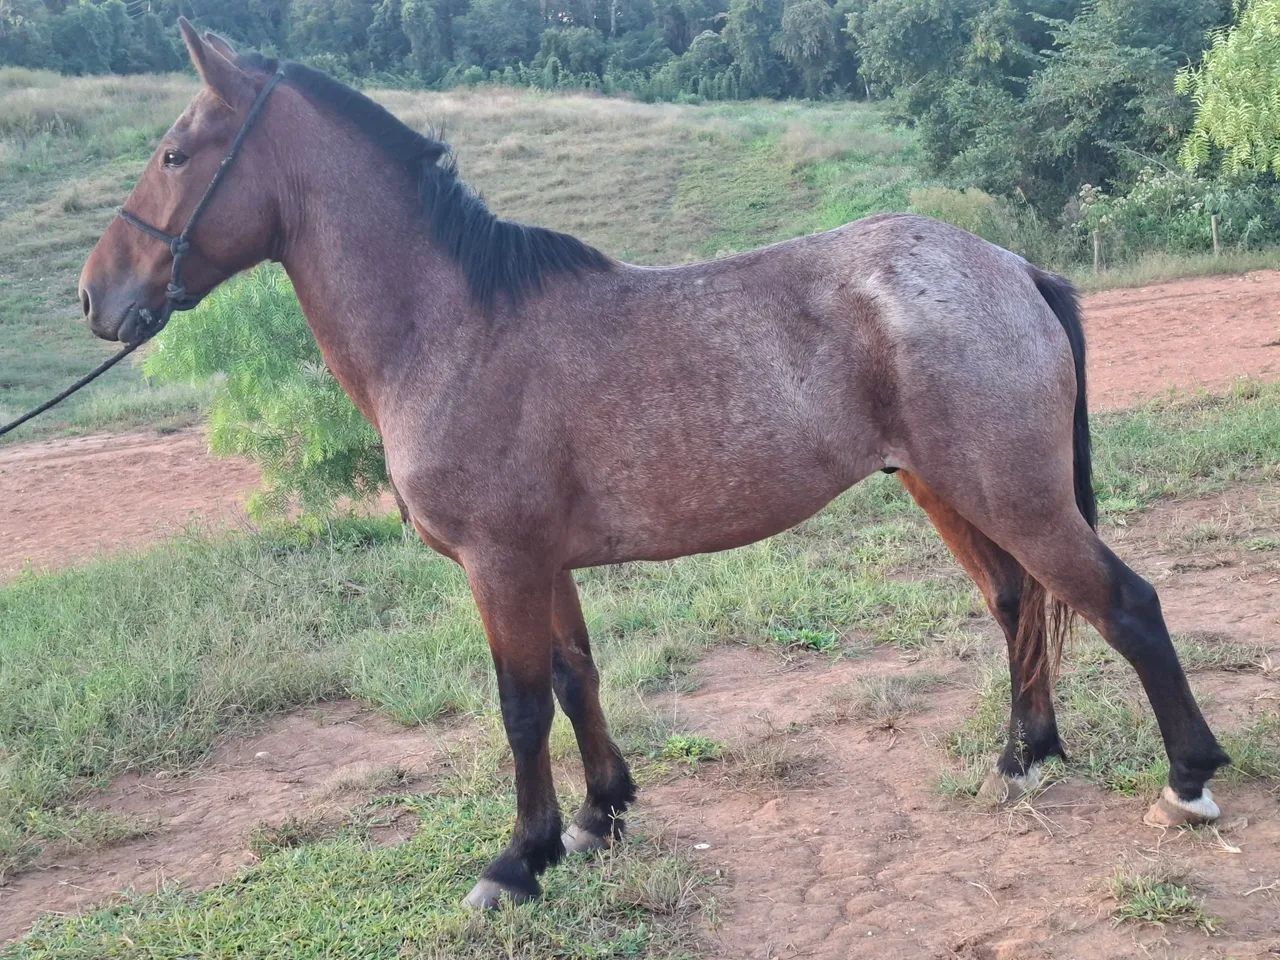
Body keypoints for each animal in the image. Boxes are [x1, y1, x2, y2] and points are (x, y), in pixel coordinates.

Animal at [78, 20, 1229, 909]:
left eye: (175, 155)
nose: (96, 296)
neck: (453, 329)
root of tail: (1011, 265)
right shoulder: (541, 565)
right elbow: (575, 676)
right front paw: (599, 816)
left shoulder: (500, 564)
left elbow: (519, 705)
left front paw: (518, 860)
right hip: (953, 492)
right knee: (1018, 602)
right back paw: (1021, 757)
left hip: (1012, 493)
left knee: (1123, 604)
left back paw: (1187, 782)